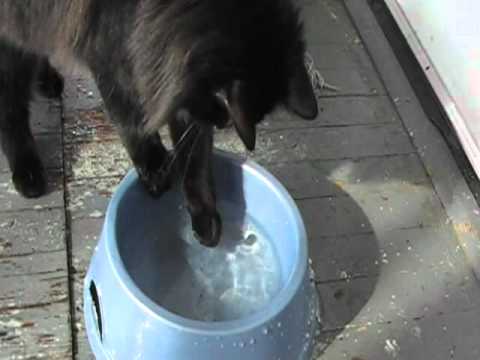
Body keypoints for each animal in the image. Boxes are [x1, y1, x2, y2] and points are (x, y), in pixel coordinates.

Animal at [0, 0, 318, 246]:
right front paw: (154, 167)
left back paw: (47, 79)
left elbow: (195, 158)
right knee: (12, 106)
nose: (221, 124)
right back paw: (28, 172)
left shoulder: (171, 82)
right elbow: (133, 121)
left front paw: (204, 214)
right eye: (223, 115)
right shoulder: (112, 53)